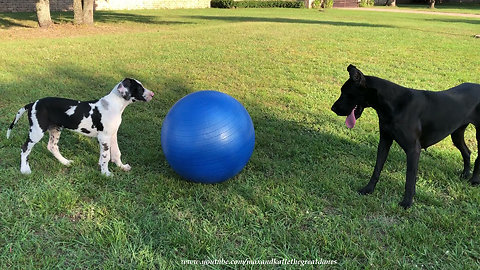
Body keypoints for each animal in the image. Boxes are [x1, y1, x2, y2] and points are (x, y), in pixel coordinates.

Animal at [7, 78, 154, 176]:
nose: (152, 94)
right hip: (37, 131)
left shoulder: (112, 135)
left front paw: (122, 167)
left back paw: (65, 162)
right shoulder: (104, 138)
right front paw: (106, 173)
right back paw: (24, 170)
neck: (113, 105)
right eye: (139, 88)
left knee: (52, 147)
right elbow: (105, 156)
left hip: (55, 129)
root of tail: (33, 103)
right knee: (25, 148)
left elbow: (116, 153)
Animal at [332, 65, 480, 209]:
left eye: (345, 92)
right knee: (467, 152)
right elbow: (377, 168)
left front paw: (407, 202)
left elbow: (409, 178)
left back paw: (474, 180)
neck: (394, 104)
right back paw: (465, 174)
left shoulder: (413, 149)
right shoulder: (384, 141)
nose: (333, 108)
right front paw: (368, 189)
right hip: (457, 133)